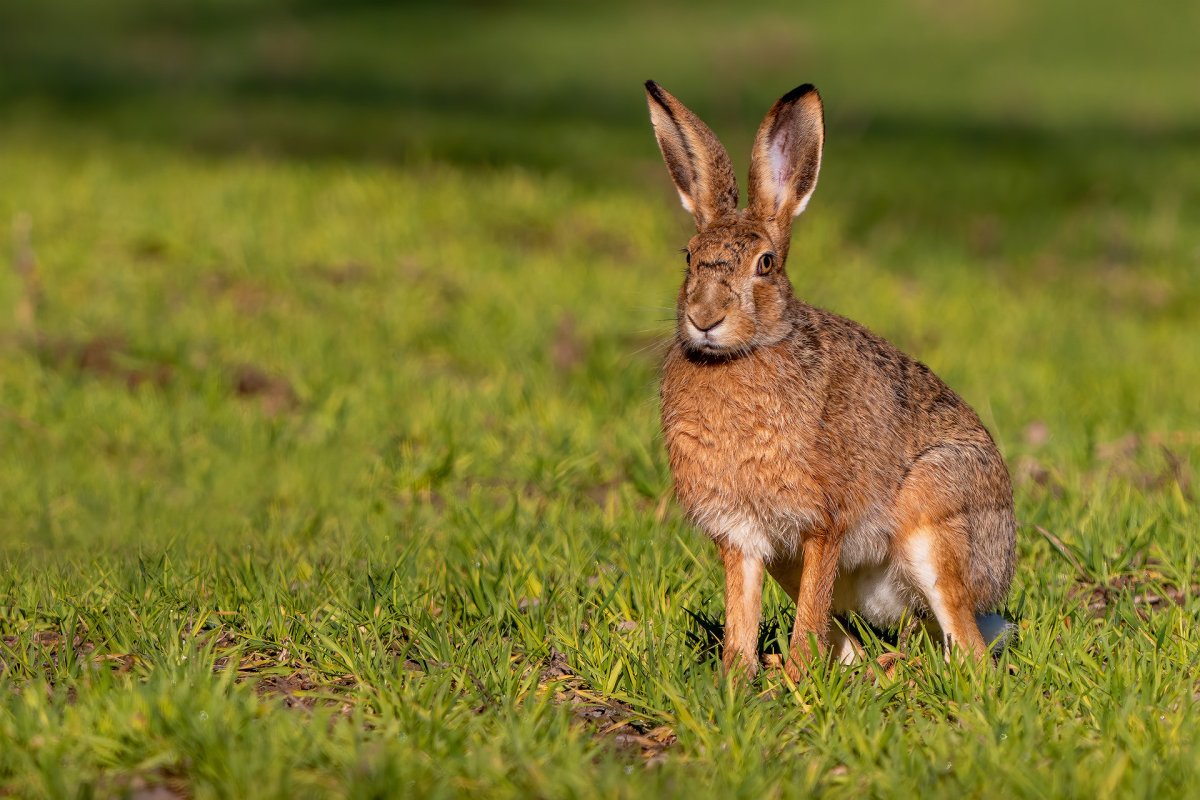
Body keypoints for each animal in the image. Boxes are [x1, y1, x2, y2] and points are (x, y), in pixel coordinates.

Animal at [644, 80, 1016, 679]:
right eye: (688, 258)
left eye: (765, 264)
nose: (704, 318)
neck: (745, 353)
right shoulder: (742, 535)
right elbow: (743, 615)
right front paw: (736, 679)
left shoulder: (823, 523)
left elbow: (809, 620)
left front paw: (793, 677)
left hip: (936, 522)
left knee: (968, 651)